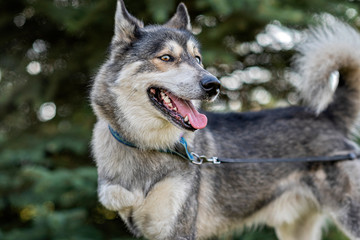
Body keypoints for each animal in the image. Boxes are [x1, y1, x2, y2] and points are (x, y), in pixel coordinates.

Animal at [91, 0, 360, 239]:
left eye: (197, 59)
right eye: (166, 58)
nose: (214, 84)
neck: (147, 146)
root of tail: (328, 116)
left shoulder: (180, 228)